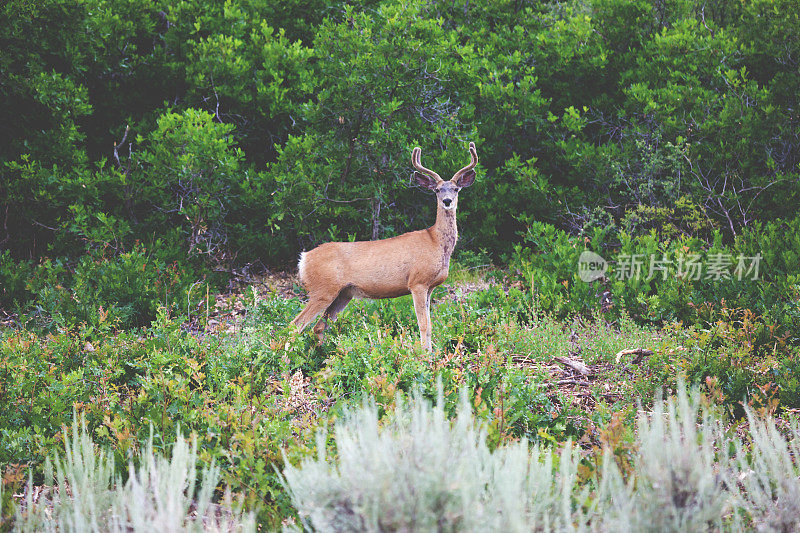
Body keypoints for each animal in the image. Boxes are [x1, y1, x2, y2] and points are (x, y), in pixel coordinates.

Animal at [290, 141, 478, 350]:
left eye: (456, 189)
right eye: (437, 190)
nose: (447, 201)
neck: (436, 242)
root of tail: (304, 258)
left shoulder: (430, 287)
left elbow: (430, 325)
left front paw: (430, 354)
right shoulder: (417, 282)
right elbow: (423, 325)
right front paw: (424, 356)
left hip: (343, 293)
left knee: (319, 326)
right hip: (322, 289)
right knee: (296, 324)